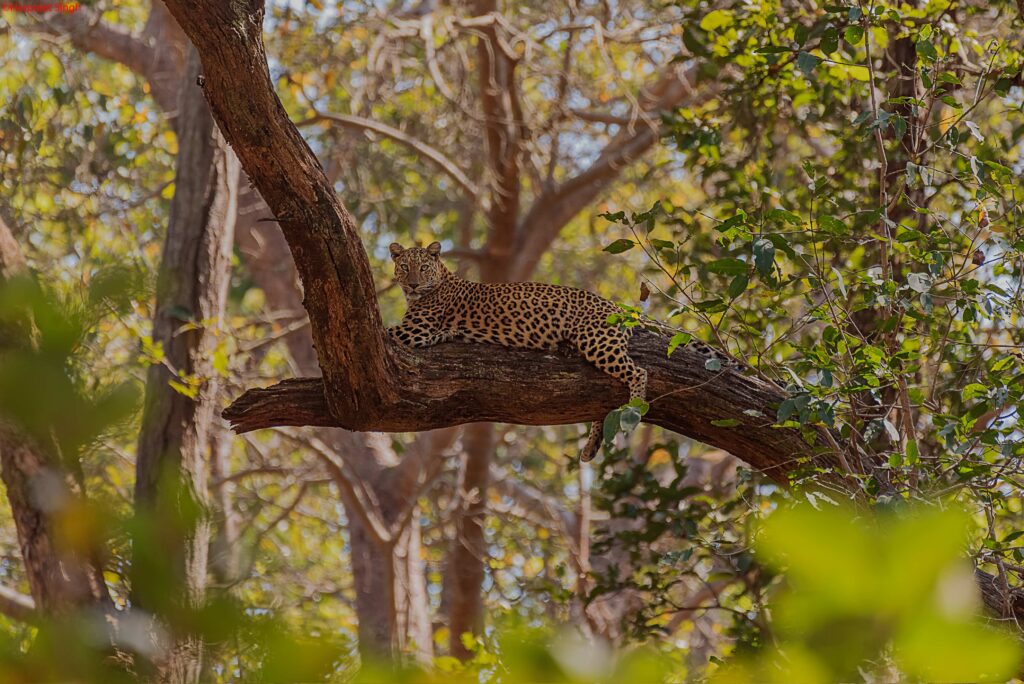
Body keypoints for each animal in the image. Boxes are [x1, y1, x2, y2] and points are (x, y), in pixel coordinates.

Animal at [387, 239, 733, 458]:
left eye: (423, 268)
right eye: (404, 267)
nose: (413, 284)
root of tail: (613, 305)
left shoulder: (415, 331)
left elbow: (385, 329)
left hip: (598, 342)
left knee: (638, 371)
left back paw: (634, 409)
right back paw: (591, 448)